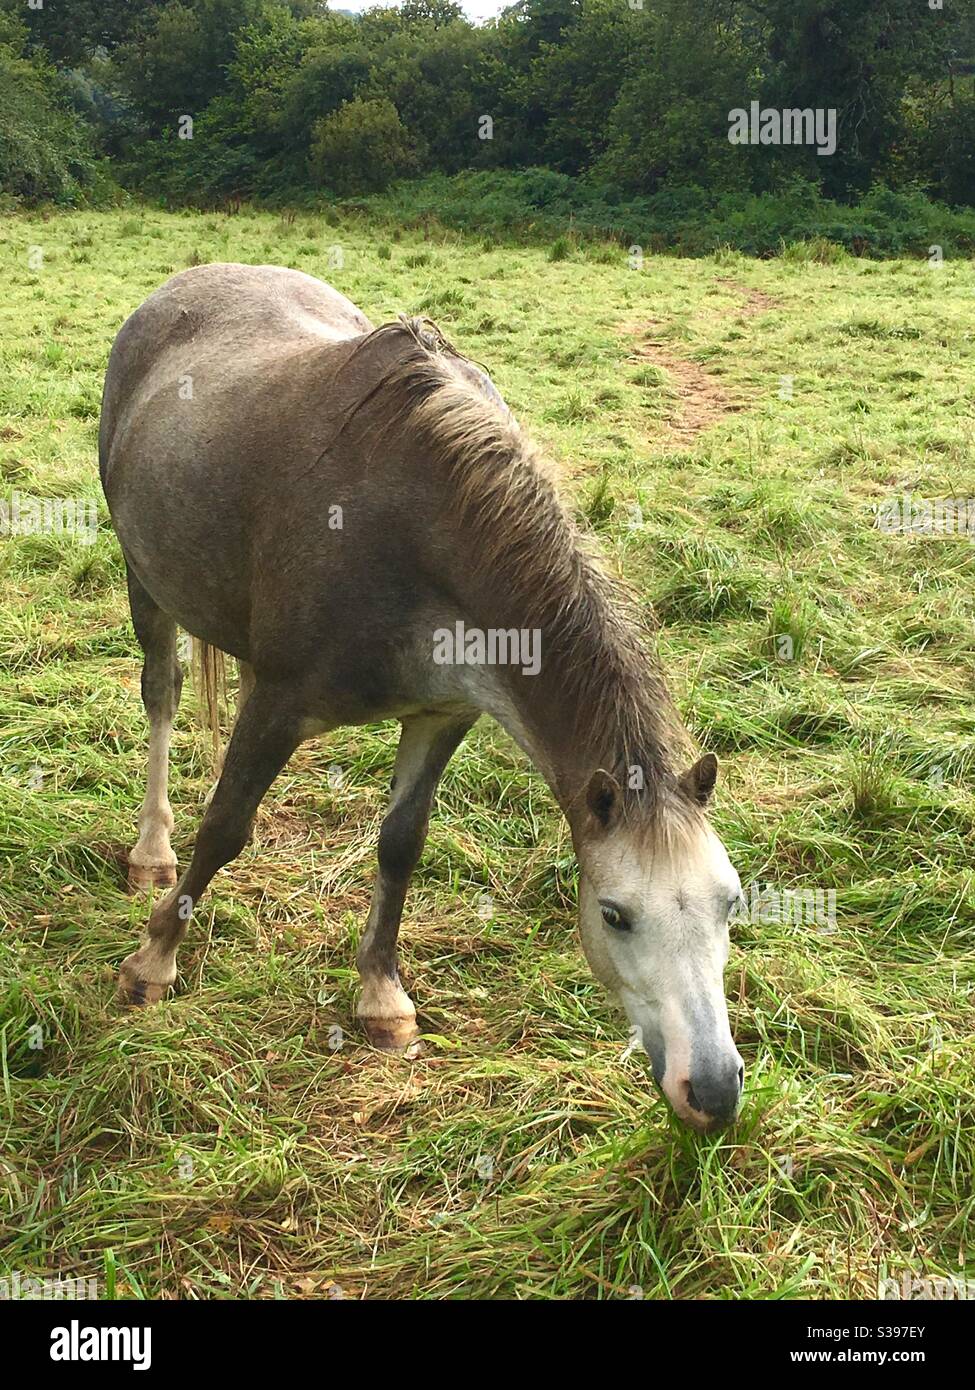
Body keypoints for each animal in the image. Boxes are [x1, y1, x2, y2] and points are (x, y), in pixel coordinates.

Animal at [99, 263, 745, 1132]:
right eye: (614, 914)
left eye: (729, 904)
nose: (712, 1091)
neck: (423, 532)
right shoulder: (277, 703)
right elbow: (226, 825)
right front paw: (155, 959)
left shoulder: (445, 714)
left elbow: (401, 845)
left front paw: (381, 996)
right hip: (146, 582)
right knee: (161, 699)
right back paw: (150, 851)